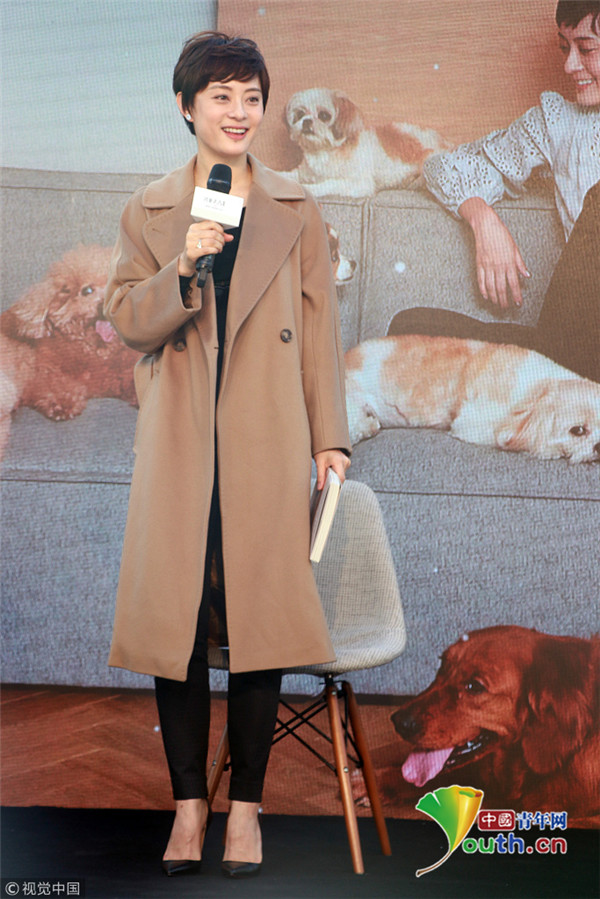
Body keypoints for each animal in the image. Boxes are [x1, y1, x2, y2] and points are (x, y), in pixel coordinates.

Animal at [0, 244, 138, 462]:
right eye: (87, 290)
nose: (102, 306)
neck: (96, 353)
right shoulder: (40, 370)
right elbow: (54, 382)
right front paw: (62, 402)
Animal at [282, 87, 450, 197]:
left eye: (324, 115)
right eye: (299, 114)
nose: (306, 121)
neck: (323, 152)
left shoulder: (358, 183)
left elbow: (330, 183)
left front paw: (311, 189)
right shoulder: (303, 173)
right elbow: (288, 175)